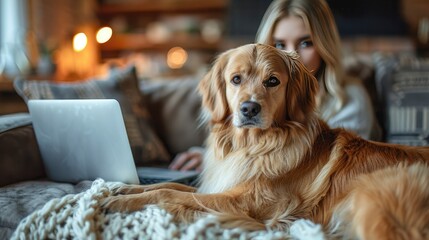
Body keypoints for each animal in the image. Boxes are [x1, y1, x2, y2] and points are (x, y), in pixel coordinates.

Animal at [103, 44, 428, 239]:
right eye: (235, 79)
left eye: (273, 81)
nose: (249, 109)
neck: (254, 146)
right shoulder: (223, 185)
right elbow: (170, 184)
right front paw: (125, 189)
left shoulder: (247, 203)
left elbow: (169, 195)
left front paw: (119, 202)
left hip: (377, 201)